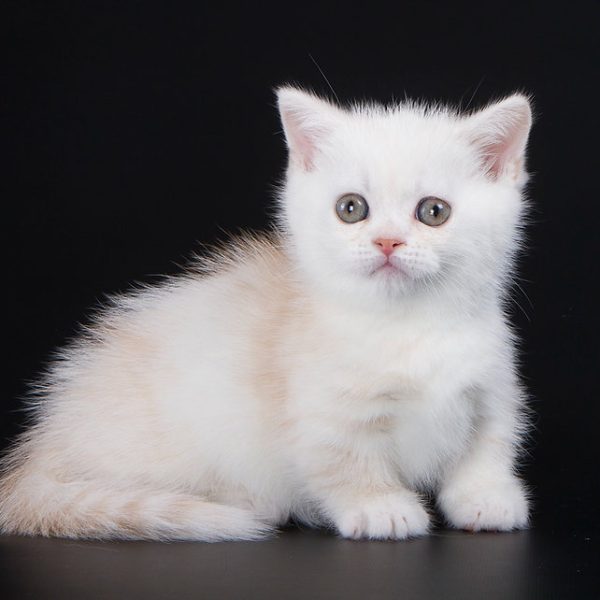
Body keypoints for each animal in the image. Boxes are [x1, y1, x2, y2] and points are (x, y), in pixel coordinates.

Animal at [0, 86, 536, 540]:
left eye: (433, 212)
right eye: (351, 208)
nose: (387, 242)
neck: (409, 326)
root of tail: (38, 453)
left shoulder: (492, 389)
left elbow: (487, 448)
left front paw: (487, 499)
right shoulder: (321, 410)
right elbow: (344, 461)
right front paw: (379, 507)